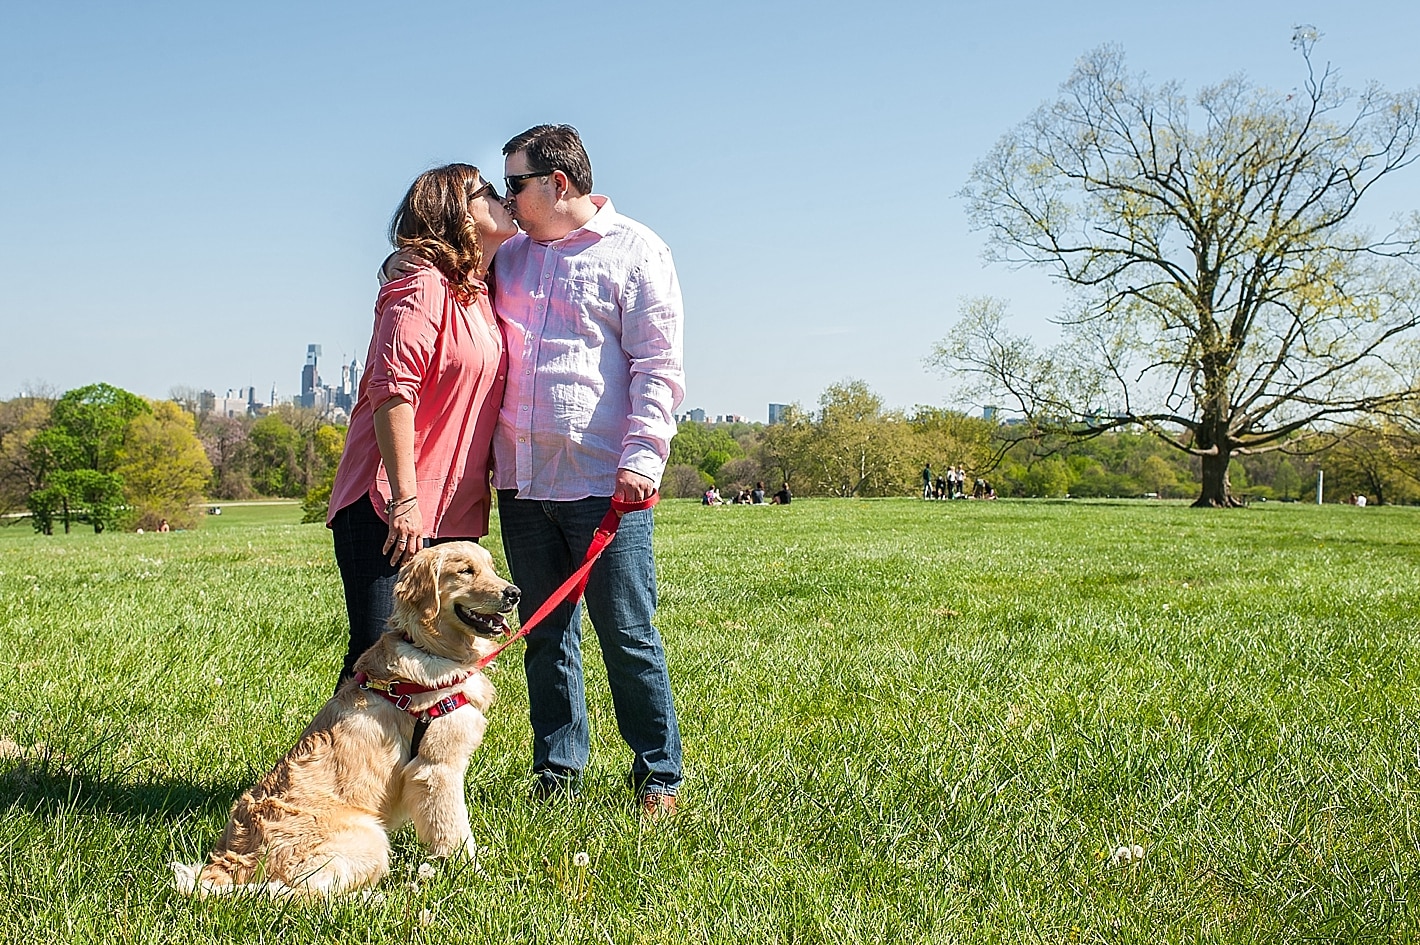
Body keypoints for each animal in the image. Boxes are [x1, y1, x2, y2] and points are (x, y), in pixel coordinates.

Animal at [173, 542, 522, 898]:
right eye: (465, 571)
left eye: (491, 567)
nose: (515, 593)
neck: (428, 647)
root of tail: (223, 867)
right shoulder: (436, 769)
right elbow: (454, 831)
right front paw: (475, 876)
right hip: (369, 837)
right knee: (300, 893)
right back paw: (374, 898)